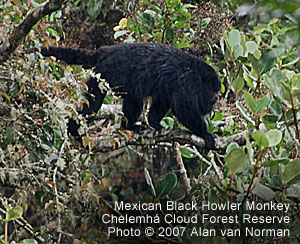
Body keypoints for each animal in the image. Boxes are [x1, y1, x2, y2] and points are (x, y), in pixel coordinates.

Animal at [32, 42, 220, 149]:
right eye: (214, 92)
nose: (217, 97)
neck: (199, 76)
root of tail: (104, 52)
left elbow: (162, 100)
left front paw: (155, 124)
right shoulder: (187, 82)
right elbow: (184, 110)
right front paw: (205, 134)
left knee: (132, 98)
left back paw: (127, 126)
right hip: (105, 73)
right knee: (96, 103)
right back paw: (76, 129)